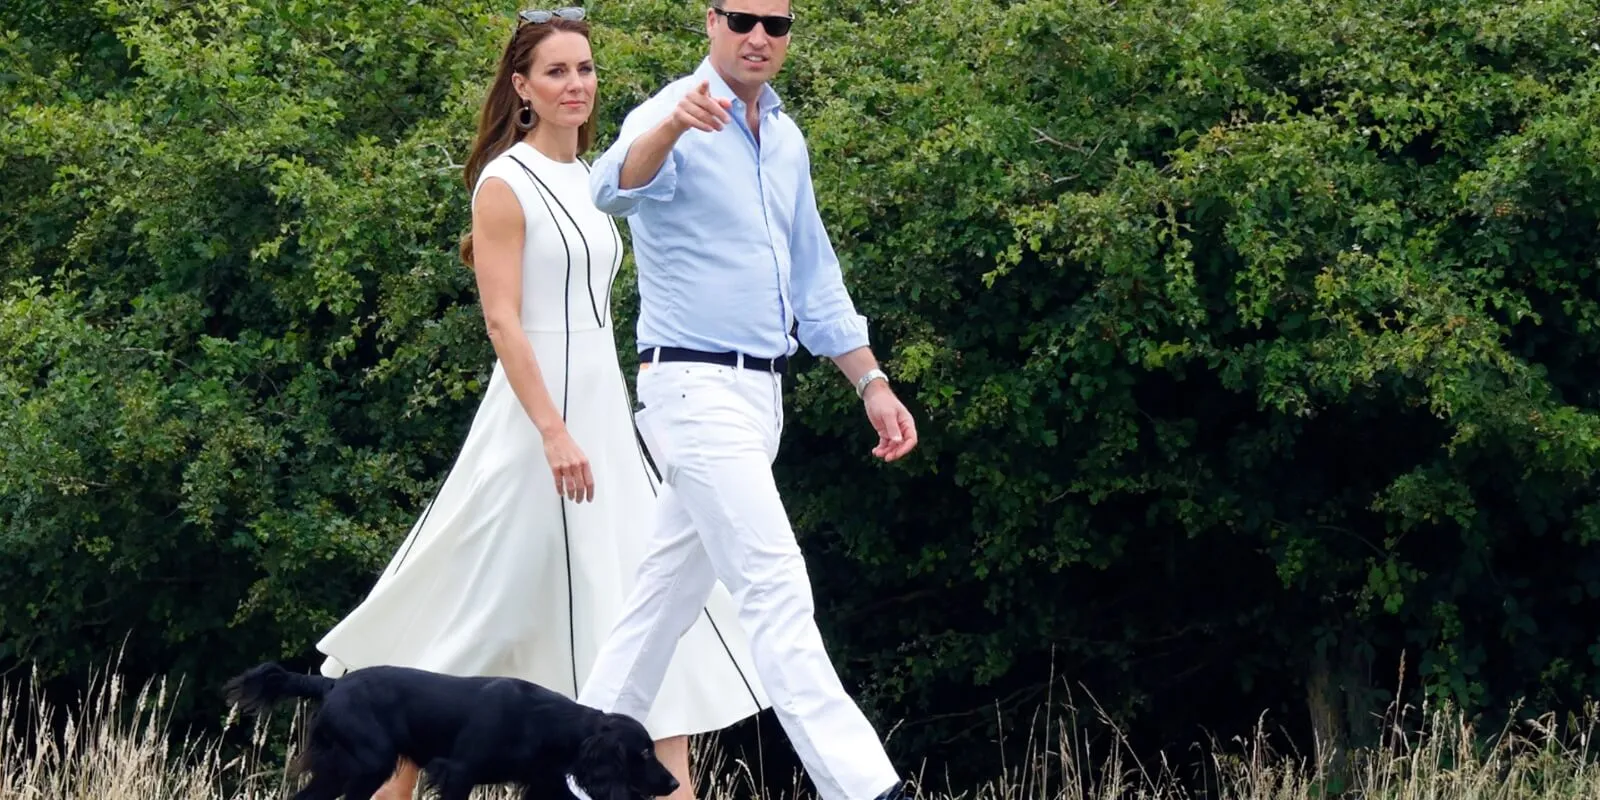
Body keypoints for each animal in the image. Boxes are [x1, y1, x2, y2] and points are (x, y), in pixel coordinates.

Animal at [222, 662, 678, 800]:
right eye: (643, 752)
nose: (674, 783)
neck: (545, 723)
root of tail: (333, 684)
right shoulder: (458, 772)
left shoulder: (544, 782)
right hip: (370, 763)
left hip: (342, 769)